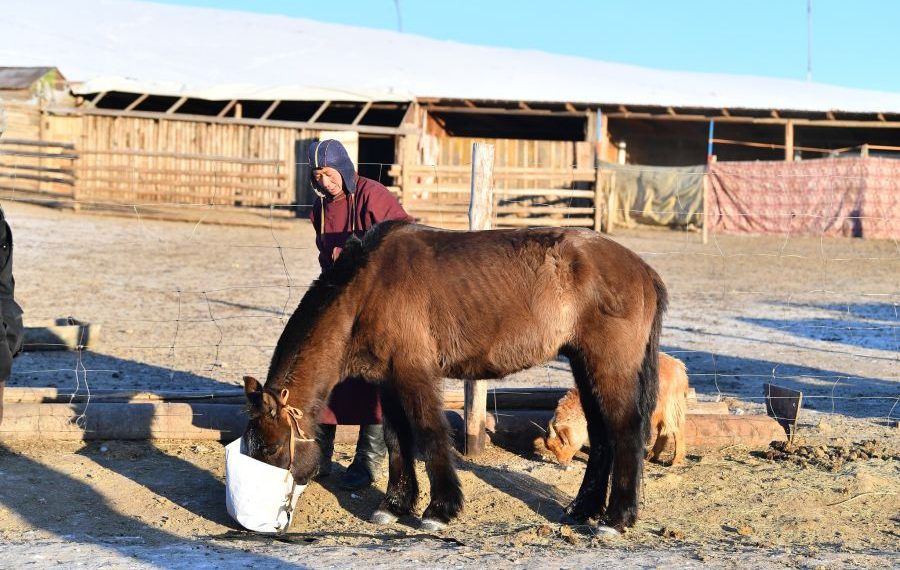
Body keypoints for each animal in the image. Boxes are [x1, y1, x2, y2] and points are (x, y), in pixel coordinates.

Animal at [243, 221, 664, 528]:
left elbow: (428, 433)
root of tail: (643, 270)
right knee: (602, 434)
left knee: (625, 430)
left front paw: (440, 510)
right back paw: (582, 509)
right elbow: (397, 439)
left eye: (272, 447)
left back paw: (616, 518)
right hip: (584, 365)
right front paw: (395, 504)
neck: (368, 288)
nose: (265, 511)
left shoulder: (414, 374)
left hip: (607, 367)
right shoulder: (389, 381)